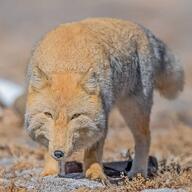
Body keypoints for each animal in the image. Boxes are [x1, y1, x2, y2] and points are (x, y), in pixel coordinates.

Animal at [24, 17, 184, 182]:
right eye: (48, 114)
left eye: (75, 116)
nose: (59, 153)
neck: (66, 63)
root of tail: (140, 28)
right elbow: (47, 147)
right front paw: (50, 171)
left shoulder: (103, 118)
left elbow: (93, 151)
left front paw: (94, 173)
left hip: (134, 111)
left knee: (145, 138)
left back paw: (138, 172)